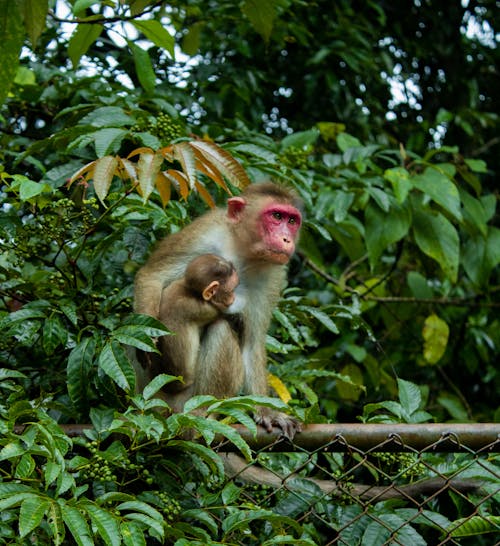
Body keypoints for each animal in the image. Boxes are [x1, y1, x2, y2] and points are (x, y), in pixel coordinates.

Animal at [150, 251, 240, 408]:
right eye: (231, 290)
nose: (233, 296)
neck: (191, 291)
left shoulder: (175, 285)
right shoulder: (202, 309)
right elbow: (219, 314)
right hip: (190, 399)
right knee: (221, 326)